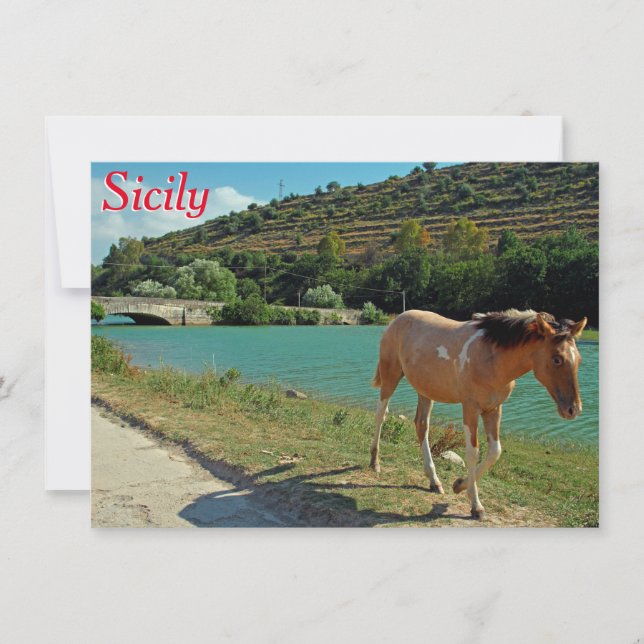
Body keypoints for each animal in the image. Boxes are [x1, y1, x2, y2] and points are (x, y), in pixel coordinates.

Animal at [370, 309, 587, 519]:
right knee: (380, 415)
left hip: (425, 390)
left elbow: (494, 452)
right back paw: (375, 463)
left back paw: (434, 481)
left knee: (422, 425)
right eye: (557, 359)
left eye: (578, 359)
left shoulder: (494, 409)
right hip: (391, 376)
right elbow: (473, 453)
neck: (492, 358)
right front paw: (476, 506)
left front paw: (459, 485)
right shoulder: (470, 408)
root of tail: (397, 320)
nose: (573, 409)